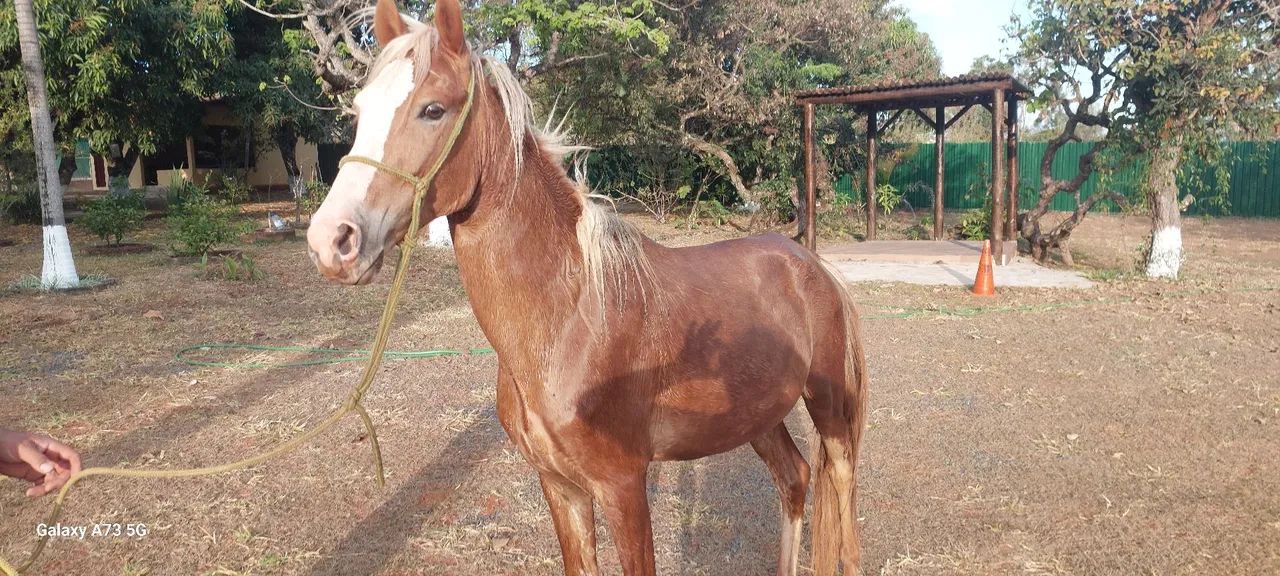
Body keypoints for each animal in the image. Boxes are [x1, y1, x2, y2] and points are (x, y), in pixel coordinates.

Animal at [306, 1, 869, 574]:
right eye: (359, 111)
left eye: (433, 109)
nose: (332, 240)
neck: (571, 318)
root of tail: (811, 264)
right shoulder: (560, 486)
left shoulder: (623, 486)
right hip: (759, 416)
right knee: (794, 479)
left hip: (830, 412)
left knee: (842, 507)